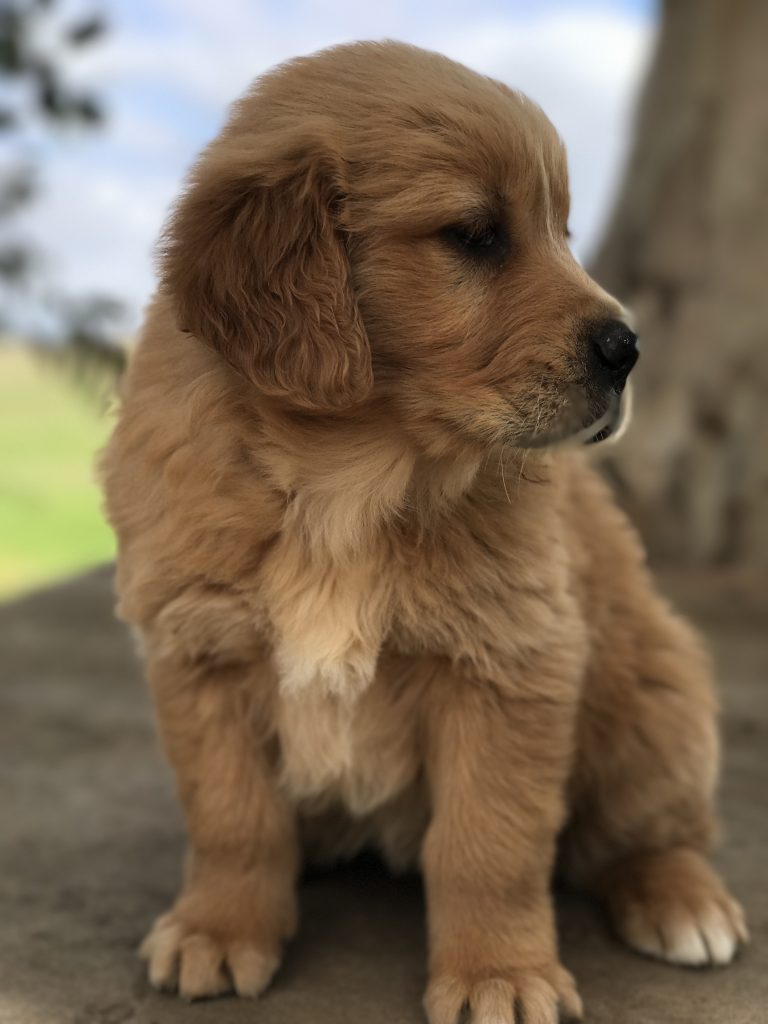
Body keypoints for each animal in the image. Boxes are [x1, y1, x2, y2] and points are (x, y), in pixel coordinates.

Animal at [99, 44, 749, 1024]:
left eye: (561, 231)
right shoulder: (198, 652)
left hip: (653, 692)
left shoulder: (510, 662)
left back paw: (682, 899)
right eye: (475, 235)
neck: (344, 484)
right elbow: (232, 817)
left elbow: (489, 843)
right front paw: (219, 927)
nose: (630, 349)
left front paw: (499, 975)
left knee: (647, 831)